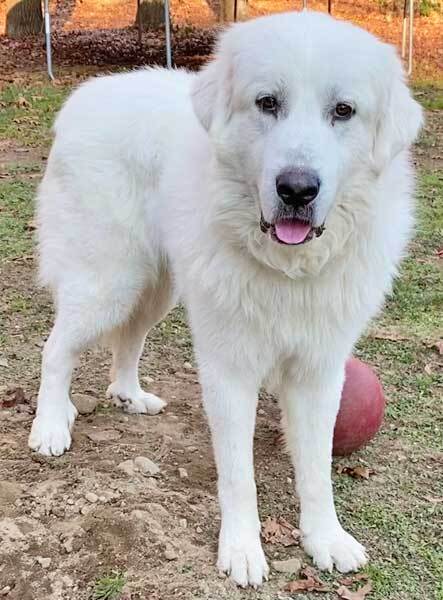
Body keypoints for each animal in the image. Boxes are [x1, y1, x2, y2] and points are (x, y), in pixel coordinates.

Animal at [28, 11, 424, 588]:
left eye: (343, 111)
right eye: (267, 103)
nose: (297, 190)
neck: (287, 267)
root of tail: (87, 95)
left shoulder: (319, 372)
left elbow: (317, 469)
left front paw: (325, 539)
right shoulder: (229, 370)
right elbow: (239, 475)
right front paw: (241, 550)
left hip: (157, 288)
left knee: (128, 342)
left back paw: (130, 395)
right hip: (108, 281)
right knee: (56, 350)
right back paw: (51, 425)